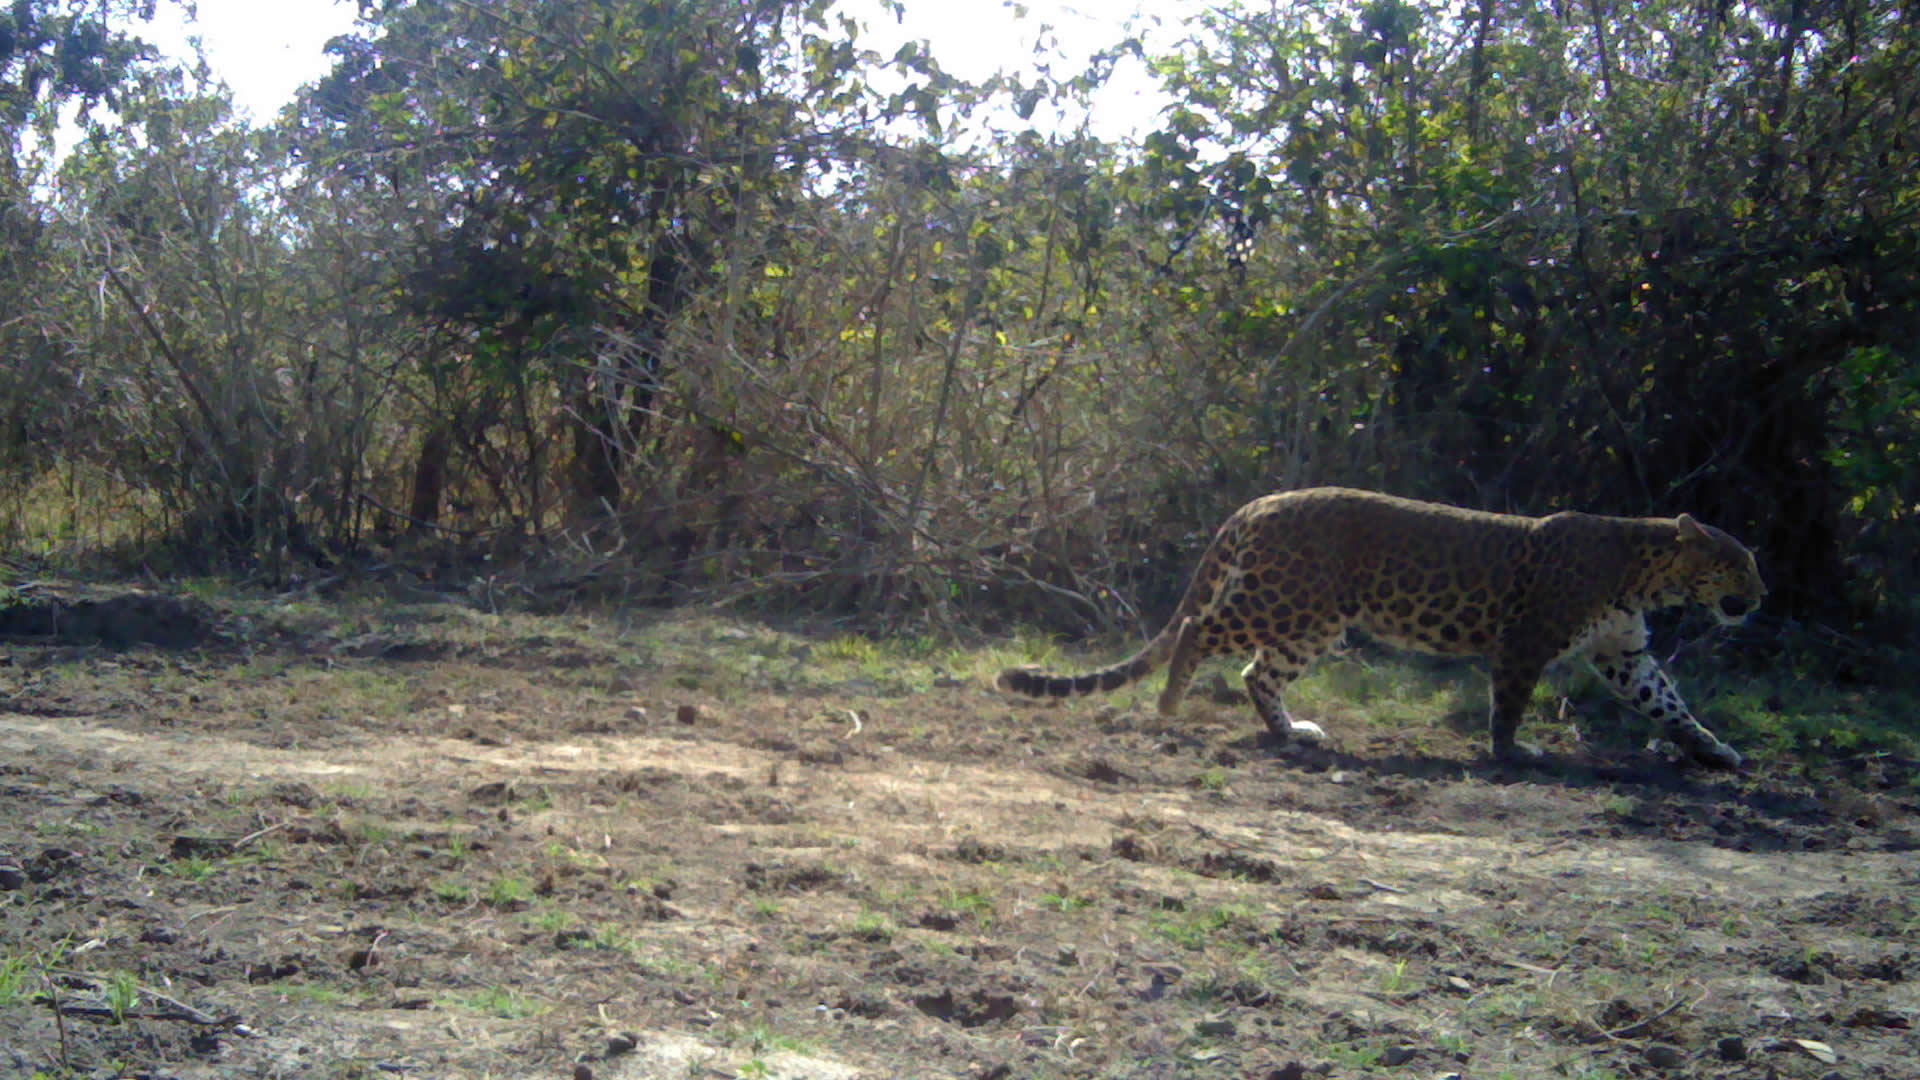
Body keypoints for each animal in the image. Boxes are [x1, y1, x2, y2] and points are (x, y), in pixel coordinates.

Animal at [998, 484, 1758, 768]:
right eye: (1735, 565)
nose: (1760, 596)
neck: (1645, 572)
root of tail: (1261, 501)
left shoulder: (1624, 653)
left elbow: (1669, 703)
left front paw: (1716, 751)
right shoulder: (1525, 641)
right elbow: (1510, 703)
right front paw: (1513, 752)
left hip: (1309, 621)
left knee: (1256, 670)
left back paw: (1291, 733)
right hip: (1285, 603)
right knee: (1198, 633)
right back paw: (1169, 702)